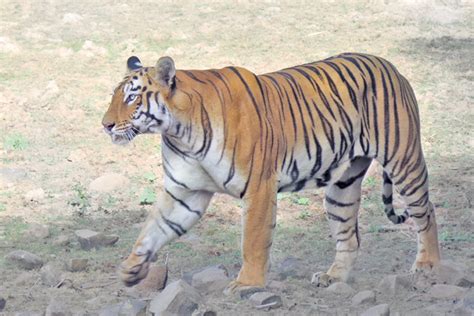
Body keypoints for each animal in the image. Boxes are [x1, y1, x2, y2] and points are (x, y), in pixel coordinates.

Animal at [103, 53, 440, 292]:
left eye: (132, 97)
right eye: (114, 96)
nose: (105, 125)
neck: (179, 132)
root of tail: (389, 65)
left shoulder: (259, 186)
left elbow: (253, 240)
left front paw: (247, 284)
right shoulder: (186, 192)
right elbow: (154, 229)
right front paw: (131, 269)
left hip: (403, 160)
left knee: (426, 212)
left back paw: (427, 265)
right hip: (341, 189)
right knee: (349, 237)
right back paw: (333, 277)